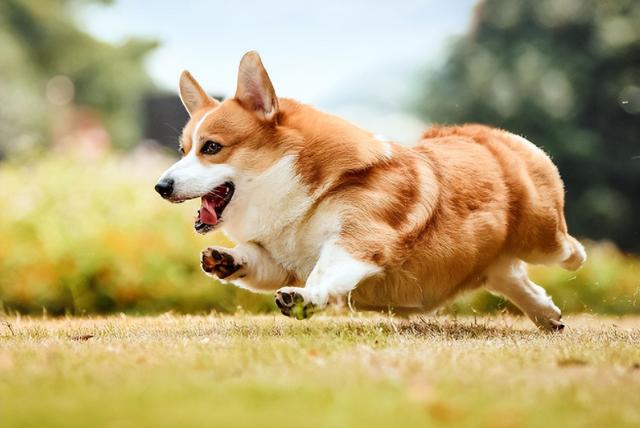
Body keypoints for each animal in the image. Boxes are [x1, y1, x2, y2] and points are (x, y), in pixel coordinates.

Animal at [155, 51, 584, 332]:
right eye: (183, 149)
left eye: (212, 147)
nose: (161, 186)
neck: (297, 193)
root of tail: (486, 132)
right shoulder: (281, 259)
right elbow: (256, 259)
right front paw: (226, 259)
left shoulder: (359, 239)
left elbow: (324, 272)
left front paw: (304, 299)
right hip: (490, 260)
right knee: (509, 275)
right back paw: (547, 315)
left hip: (541, 236)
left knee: (564, 249)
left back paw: (574, 263)